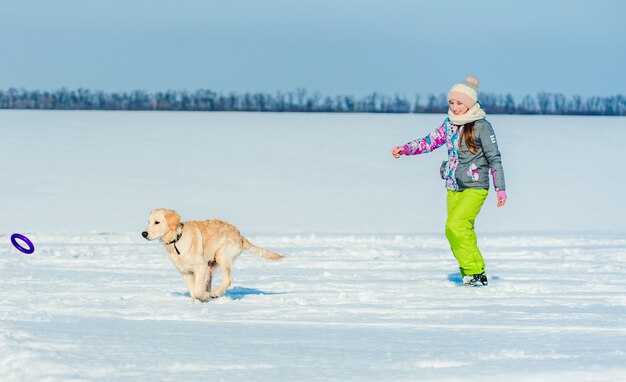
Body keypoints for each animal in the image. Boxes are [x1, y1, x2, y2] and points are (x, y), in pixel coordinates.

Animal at [141, 209, 282, 302]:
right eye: (148, 222)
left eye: (157, 222)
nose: (144, 233)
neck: (177, 239)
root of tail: (239, 236)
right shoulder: (185, 272)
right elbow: (193, 291)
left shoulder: (200, 267)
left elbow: (197, 290)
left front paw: (204, 296)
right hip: (211, 266)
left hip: (222, 255)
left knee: (228, 279)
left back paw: (214, 294)